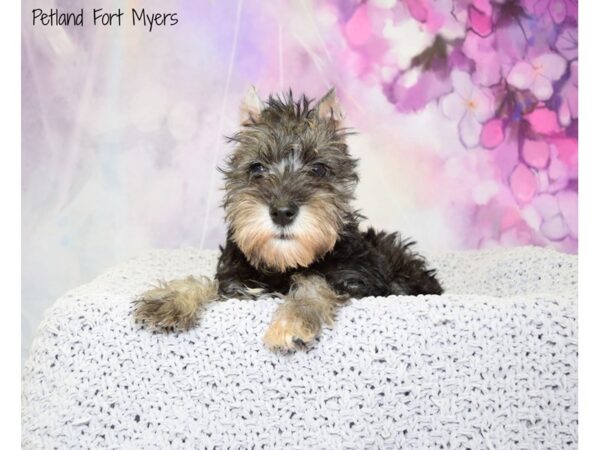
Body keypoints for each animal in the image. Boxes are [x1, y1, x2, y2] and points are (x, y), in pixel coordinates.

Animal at [137, 88, 446, 352]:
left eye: (319, 169)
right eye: (257, 168)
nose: (282, 211)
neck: (284, 265)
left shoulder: (359, 280)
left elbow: (314, 282)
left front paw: (293, 320)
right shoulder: (236, 284)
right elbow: (207, 282)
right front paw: (169, 300)